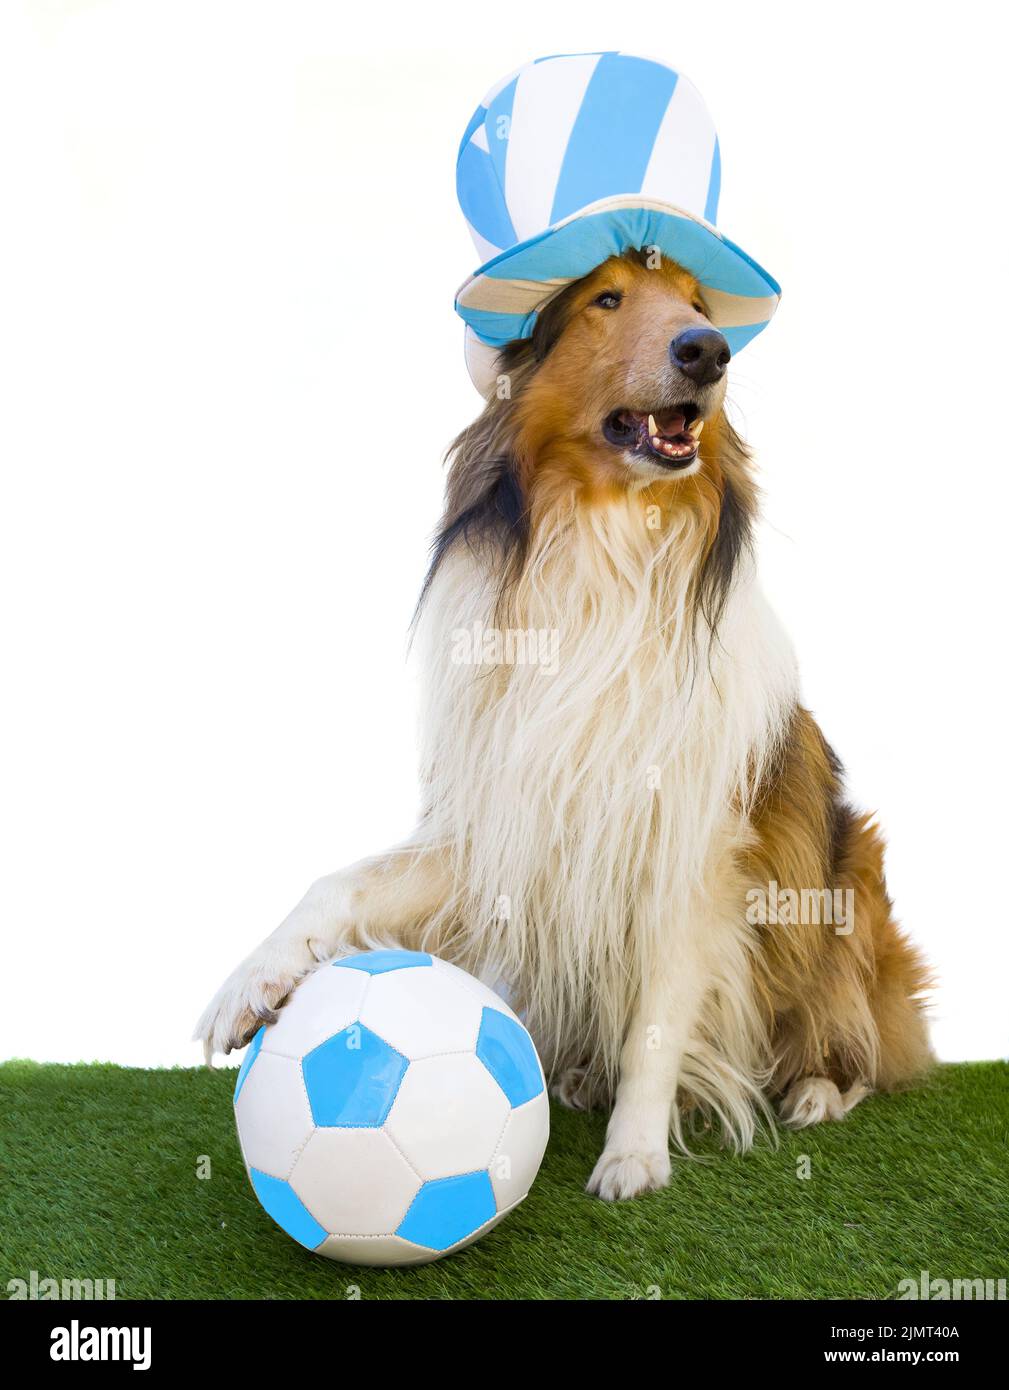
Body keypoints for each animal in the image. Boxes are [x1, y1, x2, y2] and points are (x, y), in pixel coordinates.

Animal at [197, 247, 933, 1195]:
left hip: (849, 884)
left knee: (871, 1041)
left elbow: (659, 1018)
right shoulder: (502, 819)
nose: (707, 352)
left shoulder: (693, 854)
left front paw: (634, 1154)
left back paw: (813, 1089)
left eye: (699, 307)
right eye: (605, 299)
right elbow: (341, 881)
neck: (604, 541)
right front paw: (246, 985)